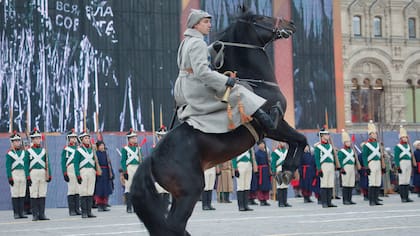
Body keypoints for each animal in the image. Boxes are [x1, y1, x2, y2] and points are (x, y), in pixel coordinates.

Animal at [130, 7, 306, 236]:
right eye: (260, 18)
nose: (290, 24)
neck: (259, 83)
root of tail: (151, 159)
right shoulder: (275, 127)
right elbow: (300, 139)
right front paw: (287, 170)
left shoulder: (276, 129)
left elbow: (297, 141)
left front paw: (286, 170)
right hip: (191, 191)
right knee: (174, 226)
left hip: (179, 196)